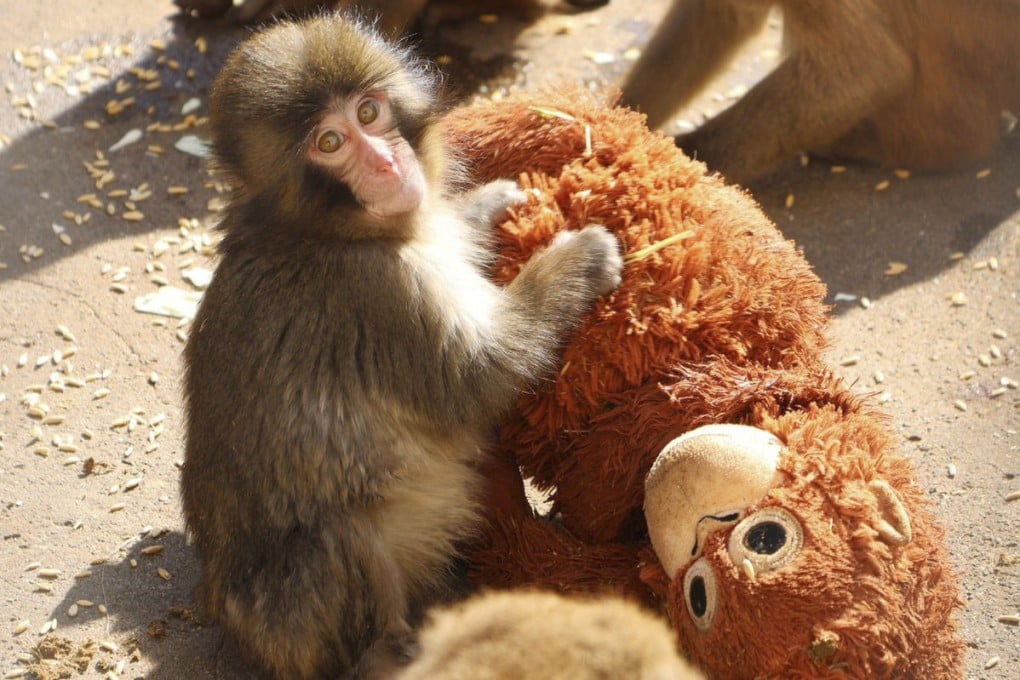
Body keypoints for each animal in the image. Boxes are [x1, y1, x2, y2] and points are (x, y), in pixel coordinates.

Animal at [180, 12, 623, 680]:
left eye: (369, 112)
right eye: (329, 143)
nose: (388, 164)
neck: (324, 231)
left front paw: (486, 205)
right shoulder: (380, 294)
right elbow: (478, 378)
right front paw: (578, 259)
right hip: (292, 623)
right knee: (336, 539)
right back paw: (393, 651)